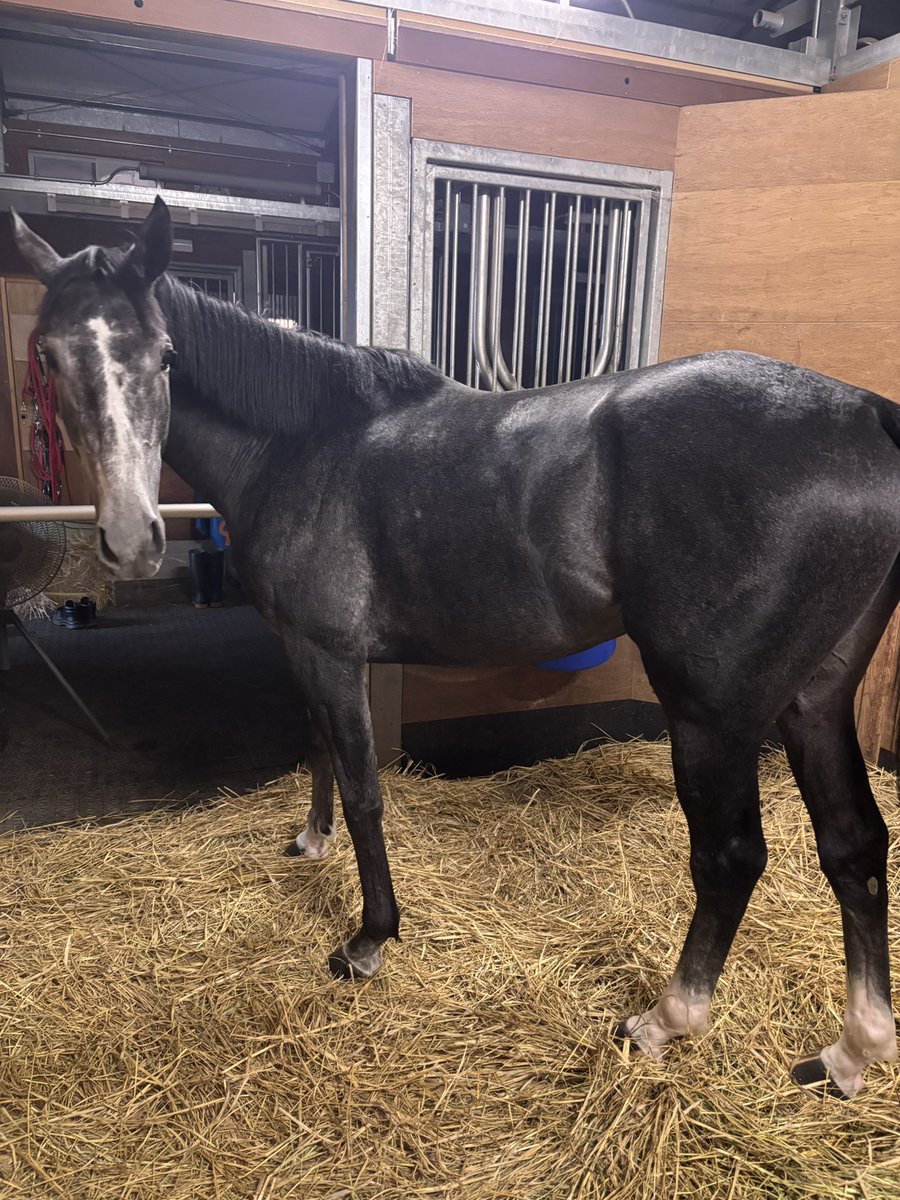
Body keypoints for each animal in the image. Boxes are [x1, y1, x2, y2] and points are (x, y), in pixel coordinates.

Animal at [10, 197, 900, 1100]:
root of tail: (867, 413)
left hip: (712, 714)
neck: (304, 445)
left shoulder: (329, 652)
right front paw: (309, 843)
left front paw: (368, 938)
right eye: (49, 356)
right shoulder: (305, 646)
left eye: (163, 355)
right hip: (816, 697)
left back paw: (666, 1020)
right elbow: (319, 747)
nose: (131, 540)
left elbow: (364, 789)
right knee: (854, 846)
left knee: (729, 858)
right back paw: (851, 1053)